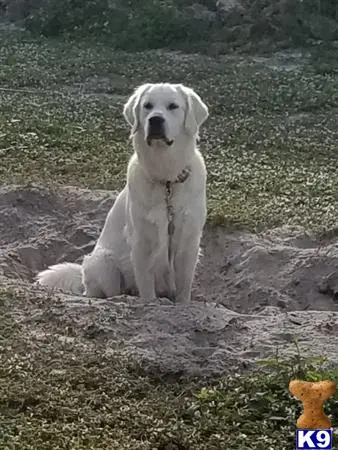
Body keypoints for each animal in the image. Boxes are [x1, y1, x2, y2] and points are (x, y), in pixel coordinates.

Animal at [36, 83, 209, 302]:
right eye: (147, 106)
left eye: (173, 106)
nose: (155, 120)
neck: (166, 180)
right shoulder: (141, 242)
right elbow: (147, 289)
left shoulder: (189, 241)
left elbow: (184, 289)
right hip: (103, 262)